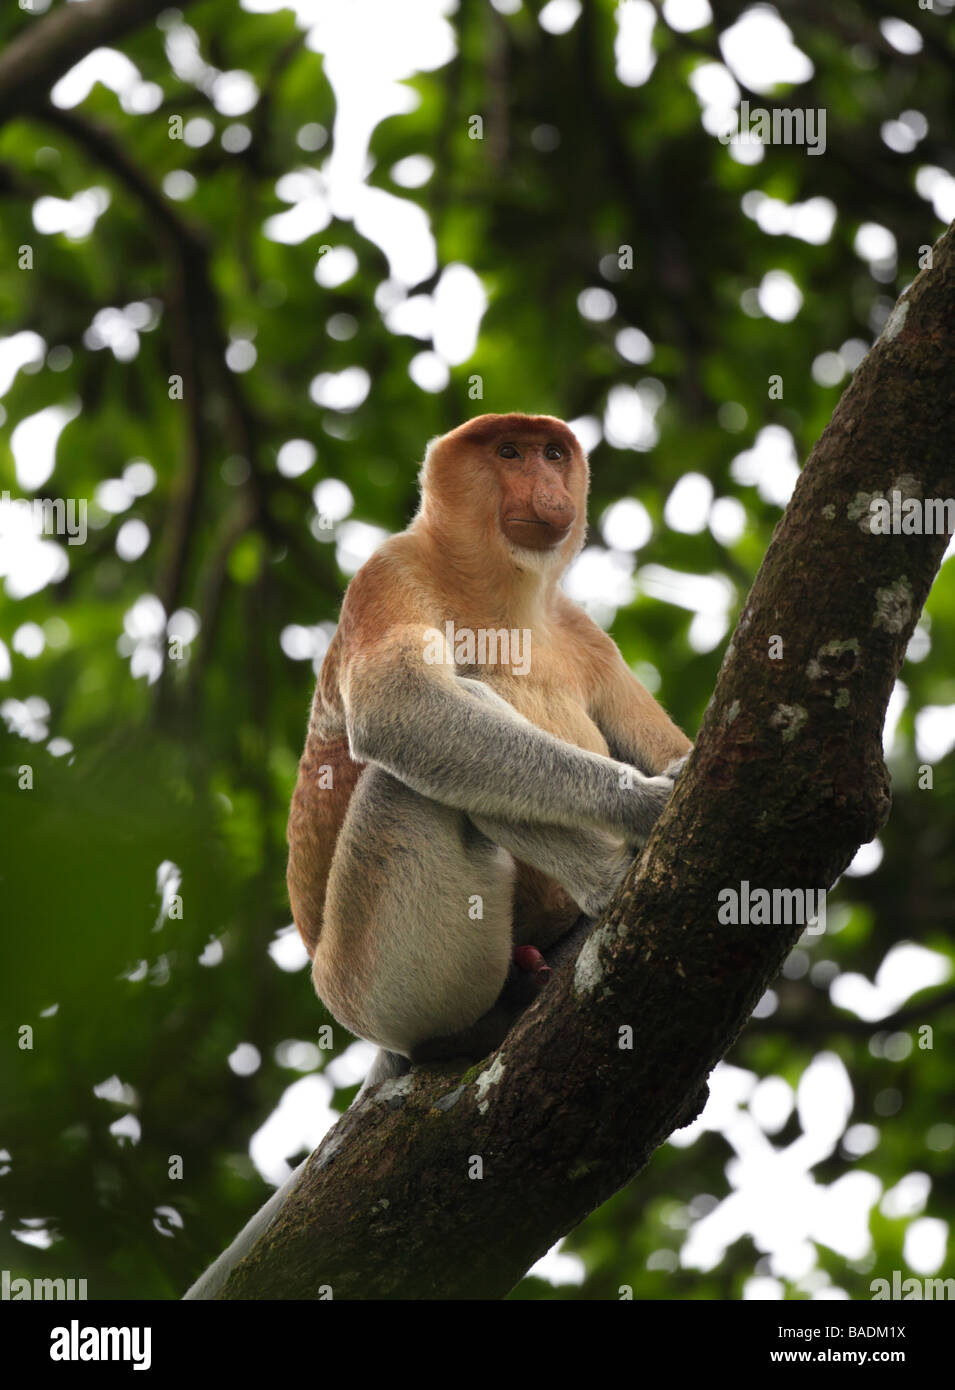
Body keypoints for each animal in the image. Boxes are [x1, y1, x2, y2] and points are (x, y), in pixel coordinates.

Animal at [287, 411, 692, 1061]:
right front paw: (644, 803)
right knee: (406, 779)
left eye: (552, 454)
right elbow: (398, 707)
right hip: (373, 985)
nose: (550, 495)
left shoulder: (584, 633)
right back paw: (603, 883)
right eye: (508, 453)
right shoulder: (388, 570)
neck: (500, 593)